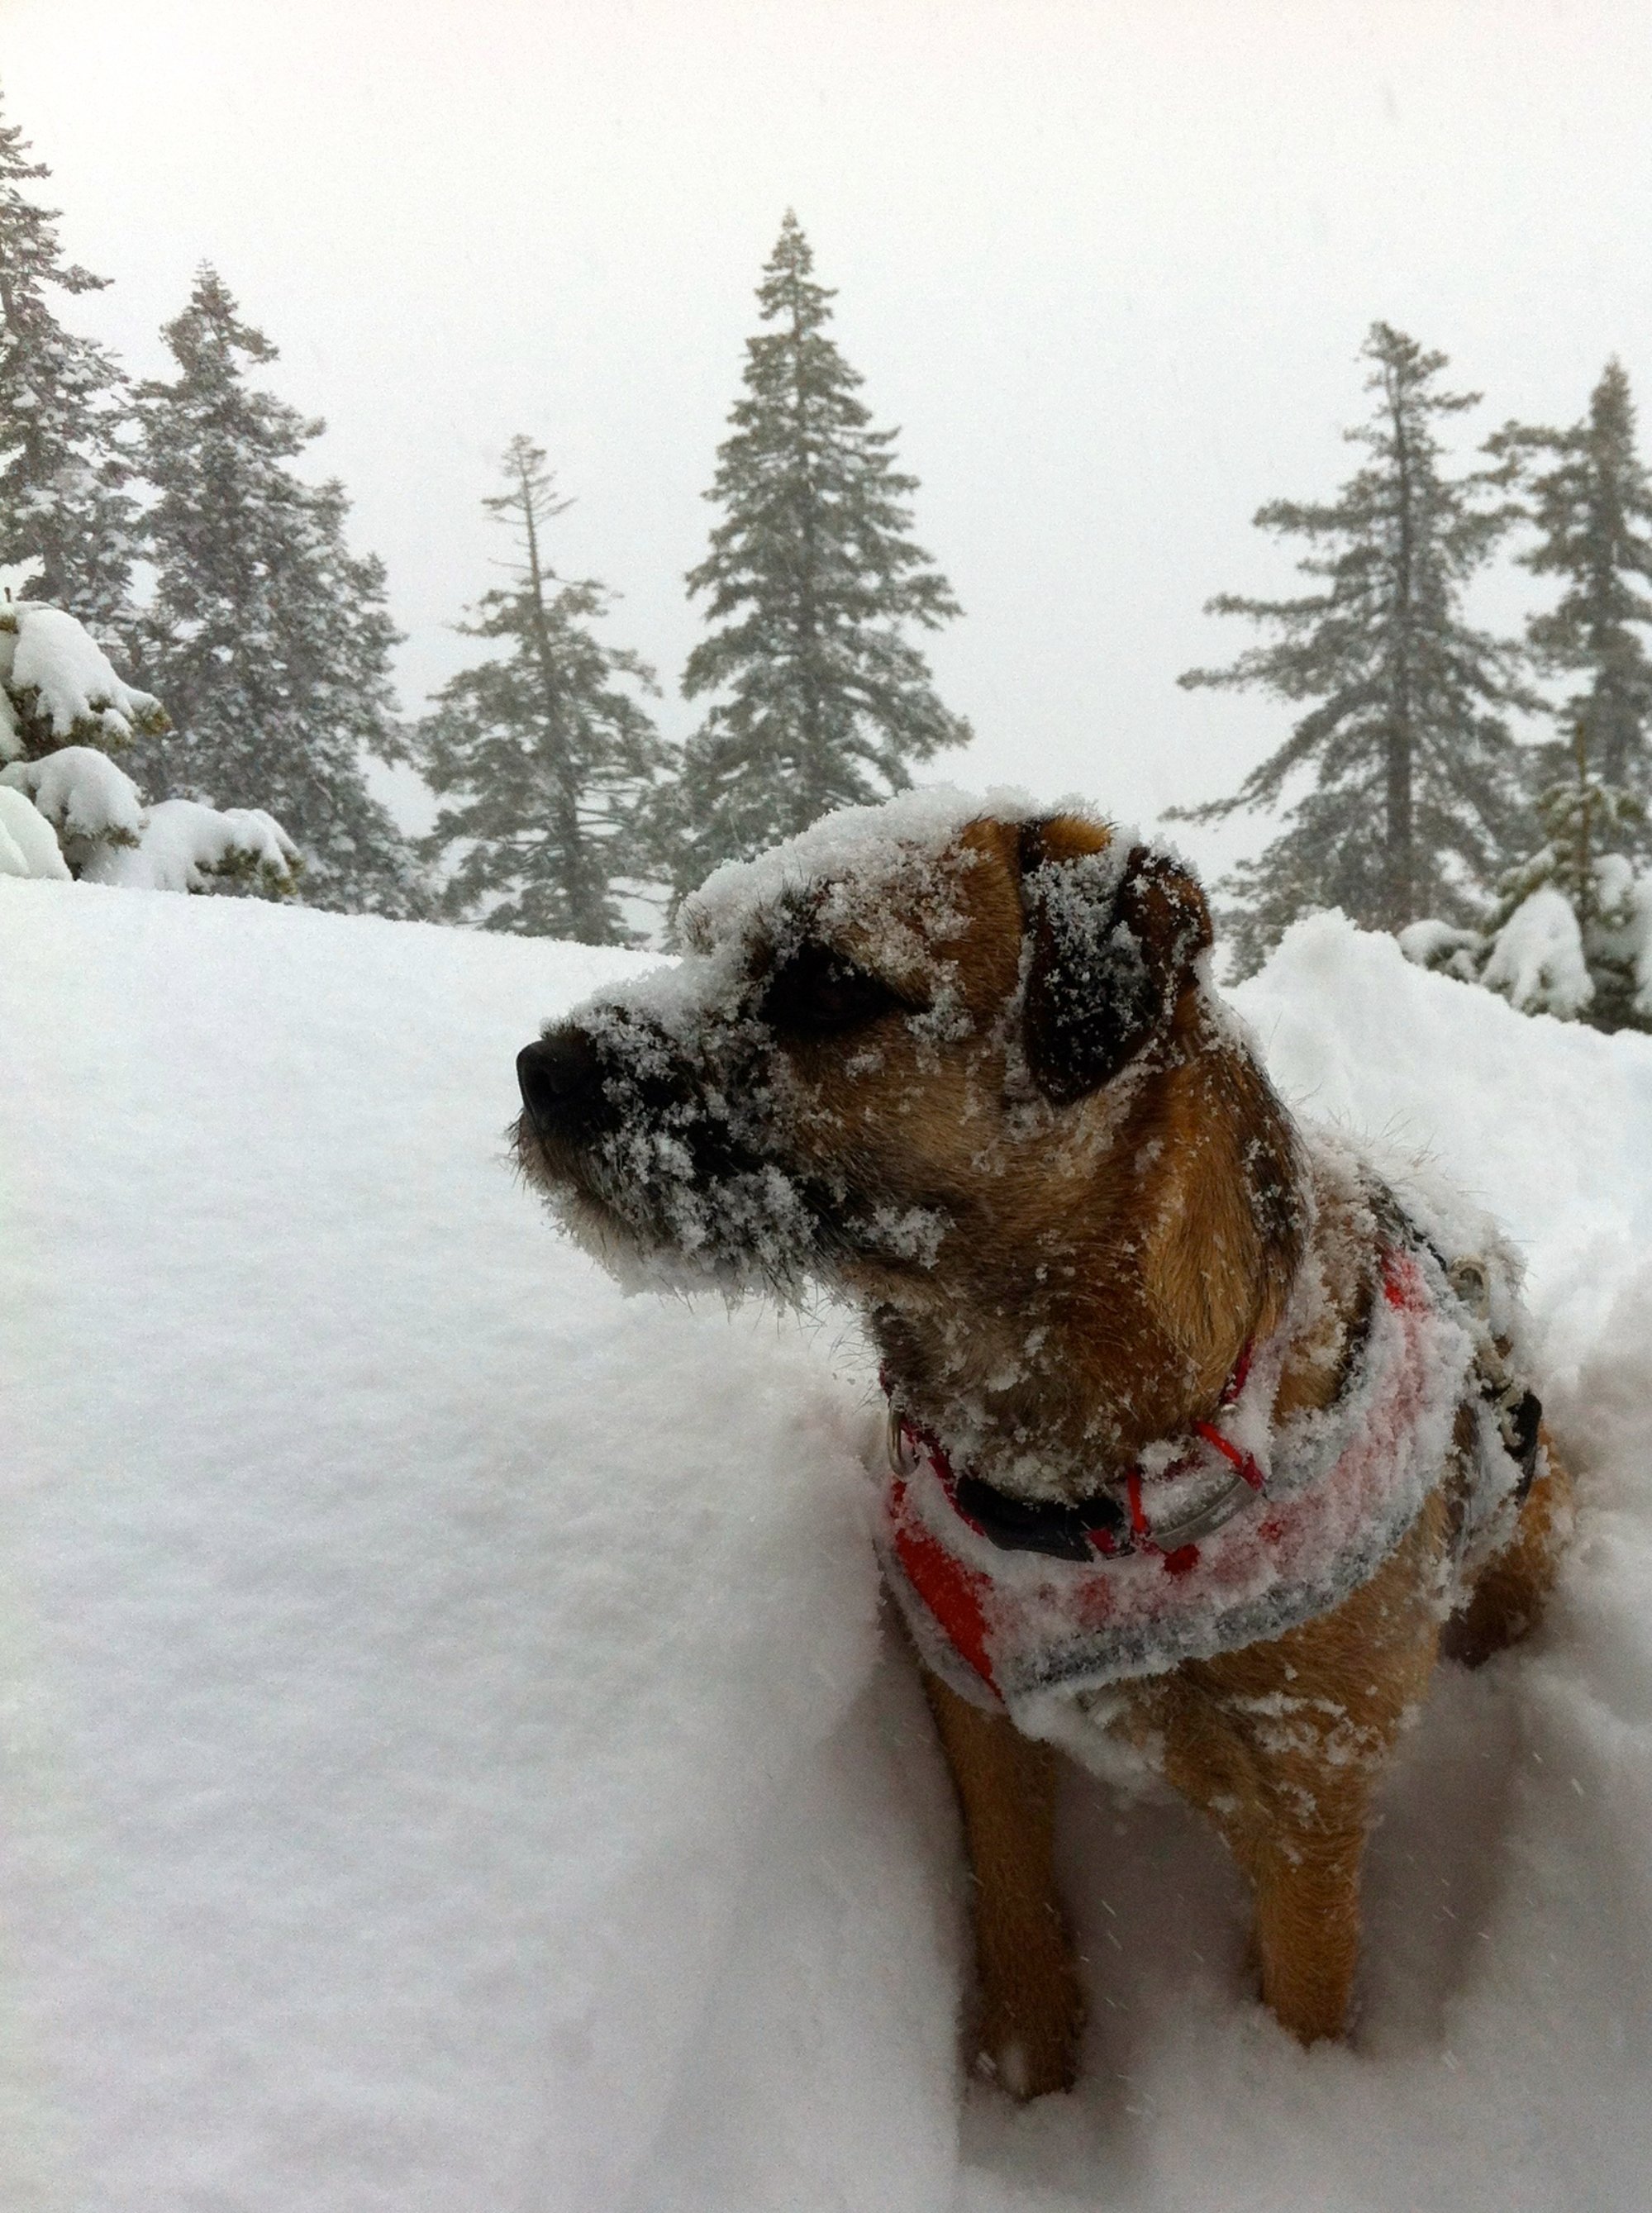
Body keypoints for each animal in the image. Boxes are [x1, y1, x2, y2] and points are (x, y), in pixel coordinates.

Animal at [509, 792, 1568, 2089]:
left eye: (827, 981)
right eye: (696, 936)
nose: (542, 1067)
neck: (1113, 1470)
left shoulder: (1312, 1797)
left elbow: (1308, 1979)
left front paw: (1295, 2100)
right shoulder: (968, 1690)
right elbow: (1013, 1890)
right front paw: (1031, 2071)